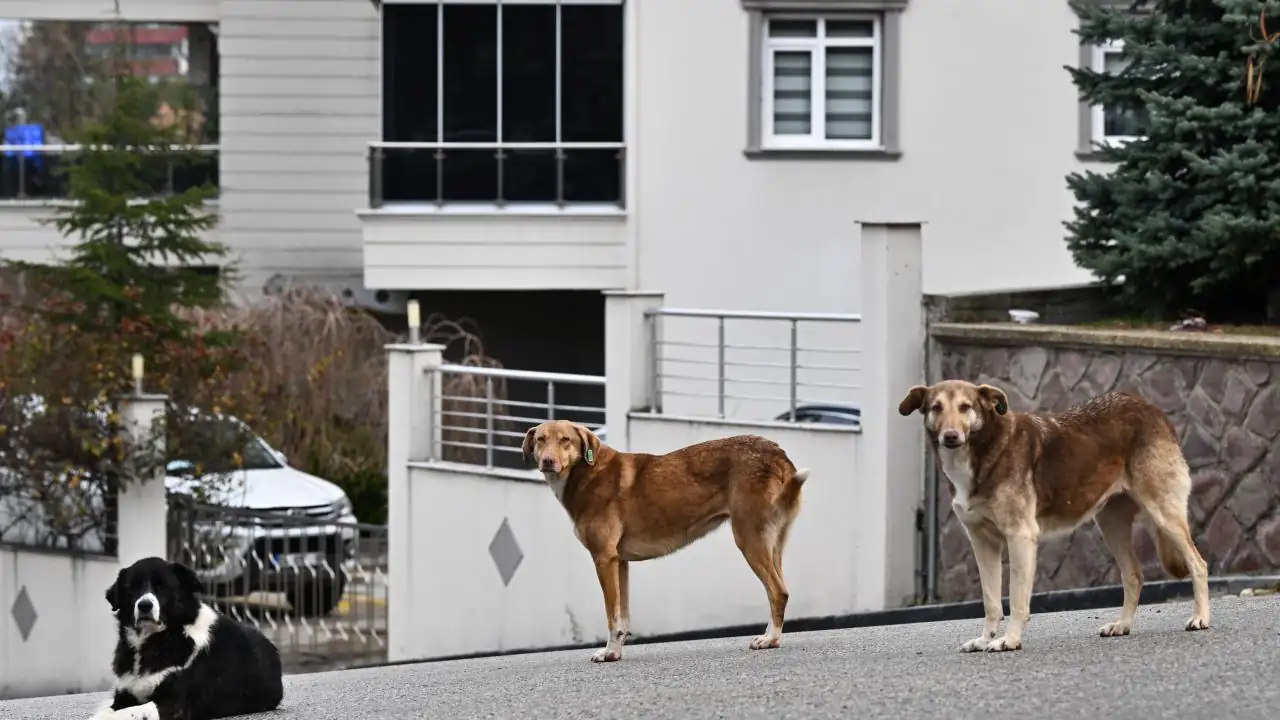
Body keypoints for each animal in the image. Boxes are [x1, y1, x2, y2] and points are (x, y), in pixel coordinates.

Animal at [91, 556, 286, 717]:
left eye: (162, 587)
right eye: (131, 589)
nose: (145, 605)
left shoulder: (174, 703)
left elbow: (128, 713)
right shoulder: (123, 696)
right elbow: (108, 711)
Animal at [522, 420, 808, 661]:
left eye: (565, 440)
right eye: (540, 439)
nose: (547, 461)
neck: (586, 473)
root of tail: (776, 452)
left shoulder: (603, 559)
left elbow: (612, 616)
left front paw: (609, 653)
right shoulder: (619, 562)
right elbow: (623, 616)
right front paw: (617, 651)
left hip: (749, 539)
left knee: (777, 591)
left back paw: (770, 640)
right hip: (771, 545)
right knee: (779, 591)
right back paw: (772, 638)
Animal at [901, 381, 1208, 650]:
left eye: (965, 407)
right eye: (936, 407)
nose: (951, 436)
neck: (985, 450)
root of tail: (1150, 407)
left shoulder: (1020, 537)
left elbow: (1016, 600)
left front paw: (1009, 640)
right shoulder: (982, 543)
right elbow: (991, 602)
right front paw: (985, 639)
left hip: (1163, 514)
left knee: (1198, 564)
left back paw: (1201, 617)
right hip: (1111, 525)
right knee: (1134, 576)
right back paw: (1122, 625)